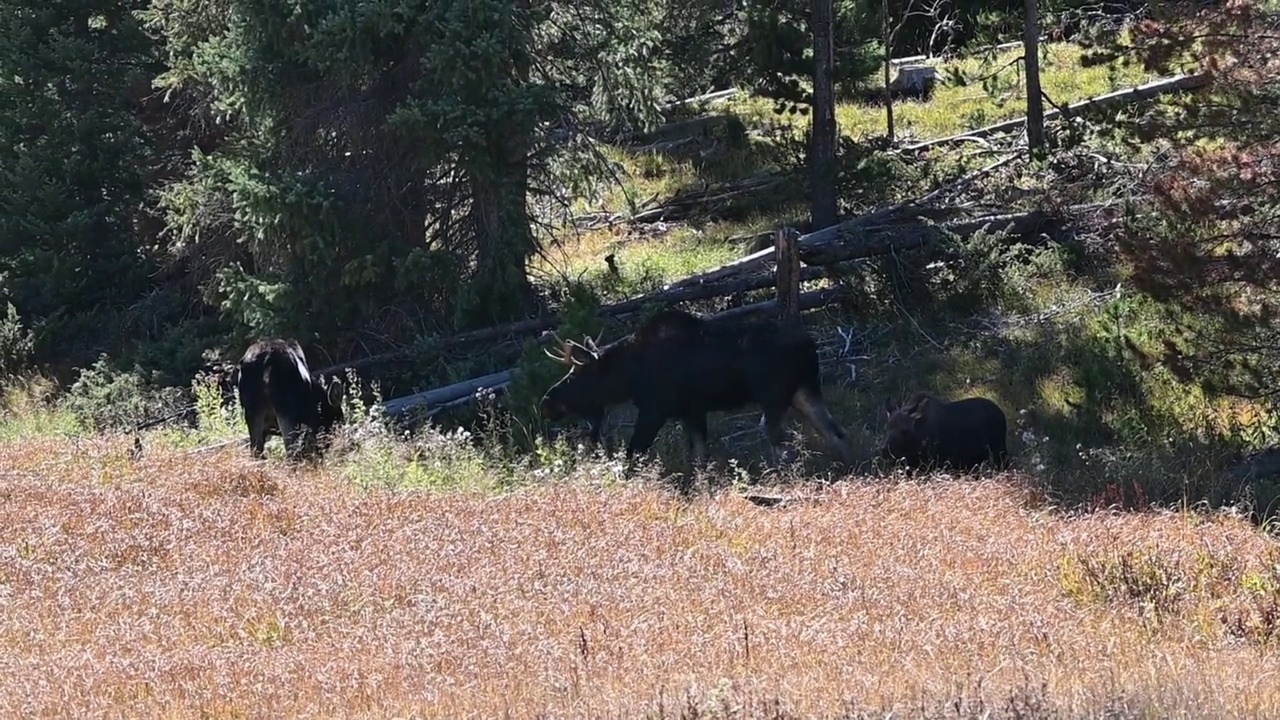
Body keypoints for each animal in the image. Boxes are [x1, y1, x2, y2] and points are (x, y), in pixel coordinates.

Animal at [535, 307, 855, 466]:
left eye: (575, 375)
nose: (547, 402)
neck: (629, 375)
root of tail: (810, 345)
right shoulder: (693, 412)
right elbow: (699, 458)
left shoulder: (654, 409)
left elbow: (633, 452)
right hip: (805, 390)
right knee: (836, 433)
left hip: (775, 396)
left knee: (783, 443)